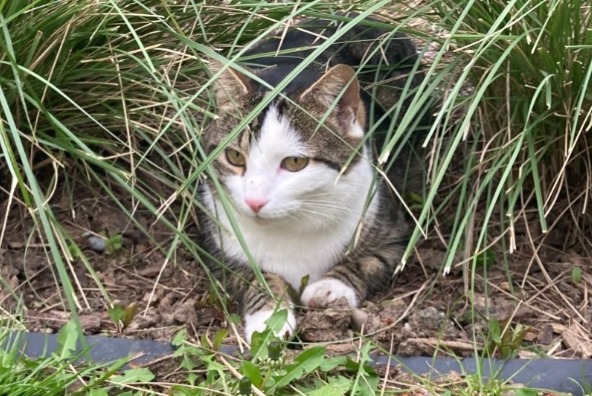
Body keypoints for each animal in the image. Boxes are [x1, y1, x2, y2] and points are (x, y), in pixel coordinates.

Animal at [201, 14, 428, 344]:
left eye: (295, 162)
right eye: (234, 157)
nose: (254, 201)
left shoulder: (394, 234)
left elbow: (368, 261)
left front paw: (331, 288)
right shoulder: (218, 248)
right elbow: (254, 277)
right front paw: (269, 316)